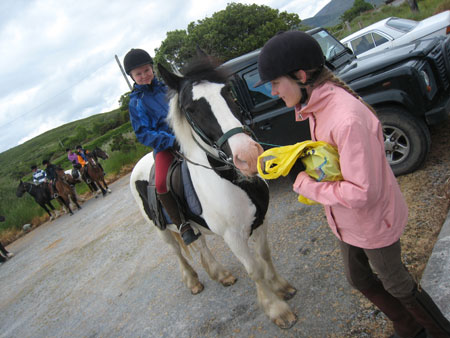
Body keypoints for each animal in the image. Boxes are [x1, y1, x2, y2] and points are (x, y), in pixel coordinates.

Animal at [129, 59, 298, 328]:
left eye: (228, 91)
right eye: (191, 109)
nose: (247, 155)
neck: (234, 181)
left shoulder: (261, 220)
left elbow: (265, 254)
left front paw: (281, 286)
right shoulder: (233, 237)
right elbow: (255, 269)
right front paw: (276, 309)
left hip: (191, 224)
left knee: (199, 243)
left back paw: (219, 274)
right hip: (161, 230)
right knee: (177, 252)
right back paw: (193, 281)